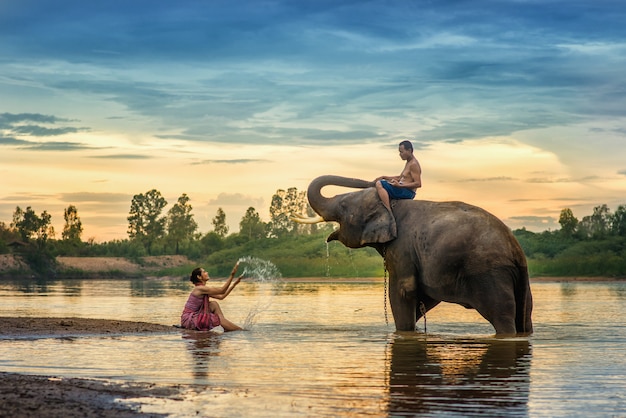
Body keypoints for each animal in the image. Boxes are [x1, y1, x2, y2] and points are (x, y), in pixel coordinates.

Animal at [294, 176, 532, 336]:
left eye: (343, 205)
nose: (376, 180)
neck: (390, 204)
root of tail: (515, 249)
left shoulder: (402, 248)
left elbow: (402, 291)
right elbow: (424, 297)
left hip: (489, 273)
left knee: (502, 316)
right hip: (519, 279)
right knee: (525, 315)